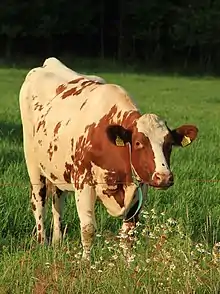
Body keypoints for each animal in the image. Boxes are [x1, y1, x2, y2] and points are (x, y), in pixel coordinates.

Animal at [18, 56, 198, 260]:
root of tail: (49, 63)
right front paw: (86, 262)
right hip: (33, 164)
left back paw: (56, 241)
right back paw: (43, 243)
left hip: (58, 168)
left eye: (169, 144)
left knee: (58, 201)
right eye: (138, 143)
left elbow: (129, 232)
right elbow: (88, 229)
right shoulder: (83, 182)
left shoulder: (140, 187)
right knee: (38, 201)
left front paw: (129, 263)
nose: (164, 177)